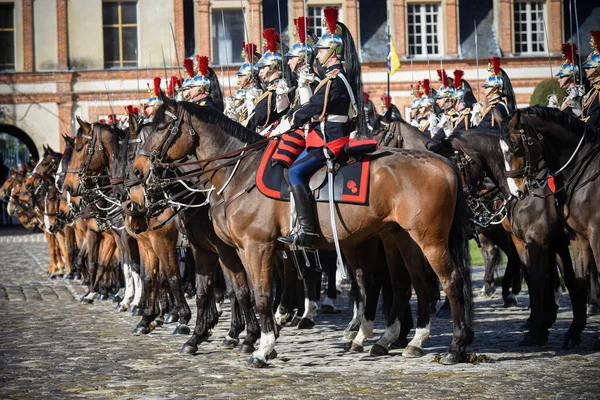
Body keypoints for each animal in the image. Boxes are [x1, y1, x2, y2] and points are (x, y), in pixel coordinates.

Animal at [130, 94, 474, 366]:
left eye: (160, 127)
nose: (137, 173)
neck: (239, 172)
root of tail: (442, 161)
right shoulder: (236, 250)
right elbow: (244, 292)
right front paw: (254, 340)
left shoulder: (256, 246)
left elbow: (262, 296)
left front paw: (261, 348)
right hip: (399, 237)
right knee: (412, 282)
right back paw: (406, 340)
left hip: (429, 240)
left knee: (450, 281)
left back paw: (455, 346)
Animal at [502, 106, 600, 346]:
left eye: (515, 146)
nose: (516, 191)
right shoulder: (574, 238)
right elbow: (573, 280)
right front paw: (567, 330)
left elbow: (539, 278)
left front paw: (537, 328)